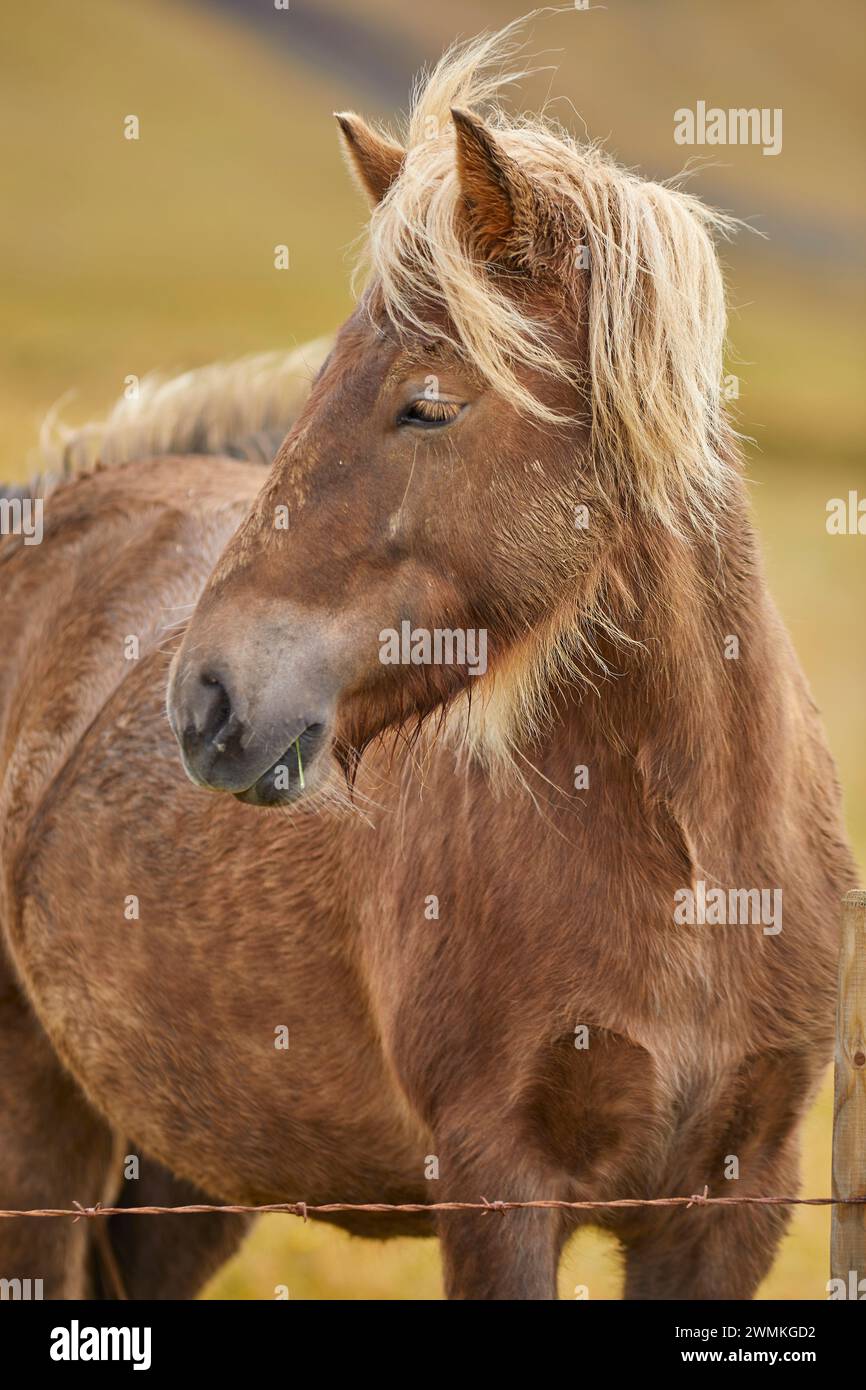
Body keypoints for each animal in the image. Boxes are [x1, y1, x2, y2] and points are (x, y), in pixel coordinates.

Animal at [0, 24, 856, 1301]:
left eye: (428, 406)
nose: (204, 700)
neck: (693, 865)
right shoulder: (497, 1179)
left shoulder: (729, 1202)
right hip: (41, 1124)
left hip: (187, 1173)